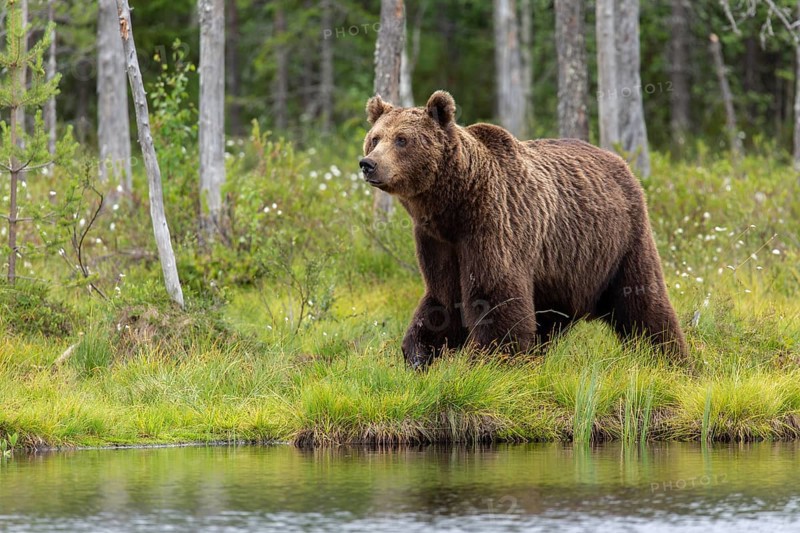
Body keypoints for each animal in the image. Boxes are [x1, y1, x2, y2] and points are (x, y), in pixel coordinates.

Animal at [360, 90, 689, 369]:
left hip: (620, 241)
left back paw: (669, 357)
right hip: (560, 269)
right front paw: (418, 353)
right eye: (375, 138)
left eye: (402, 139)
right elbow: (443, 298)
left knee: (642, 301)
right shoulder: (436, 240)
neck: (453, 205)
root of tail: (621, 163)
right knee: (548, 318)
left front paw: (488, 359)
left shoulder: (492, 225)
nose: (368, 164)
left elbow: (494, 294)